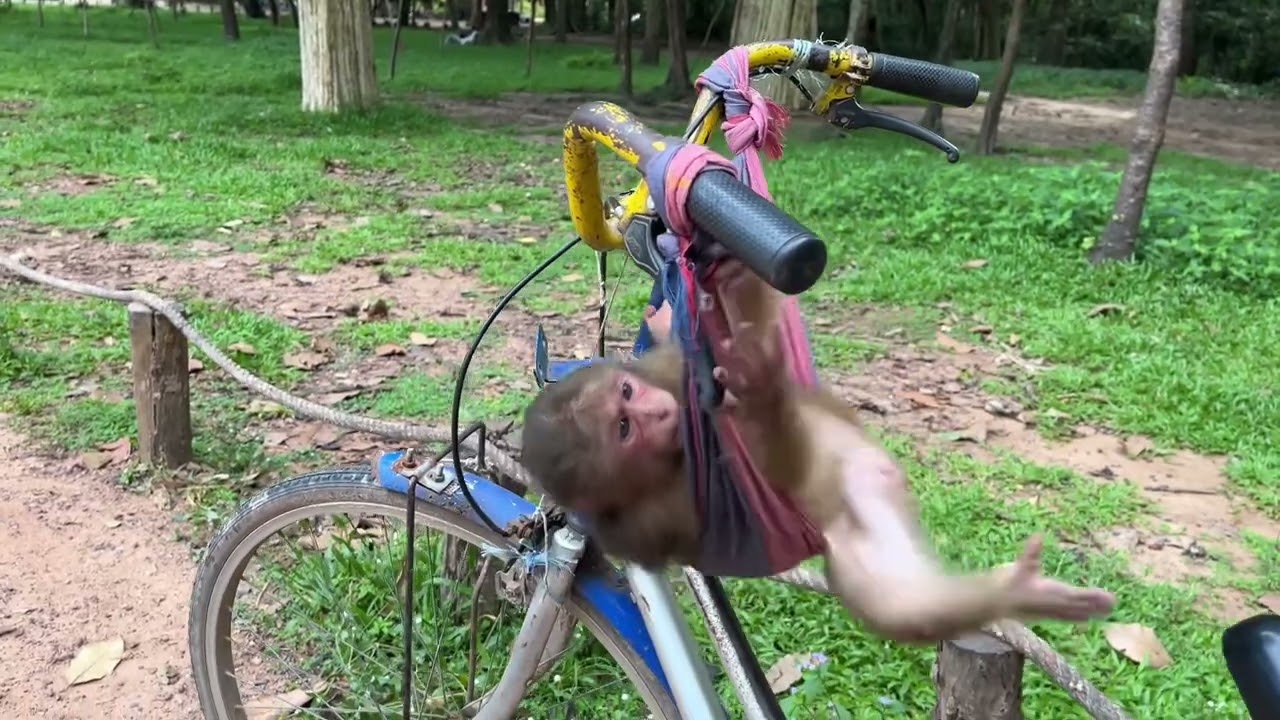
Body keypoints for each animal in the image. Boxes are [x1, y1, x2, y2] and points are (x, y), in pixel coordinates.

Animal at [520, 260, 1116, 644]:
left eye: (627, 394)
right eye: (624, 428)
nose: (656, 412)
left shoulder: (662, 371)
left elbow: (679, 346)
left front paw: (685, 301)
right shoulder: (652, 519)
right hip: (847, 538)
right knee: (899, 604)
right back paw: (1019, 592)